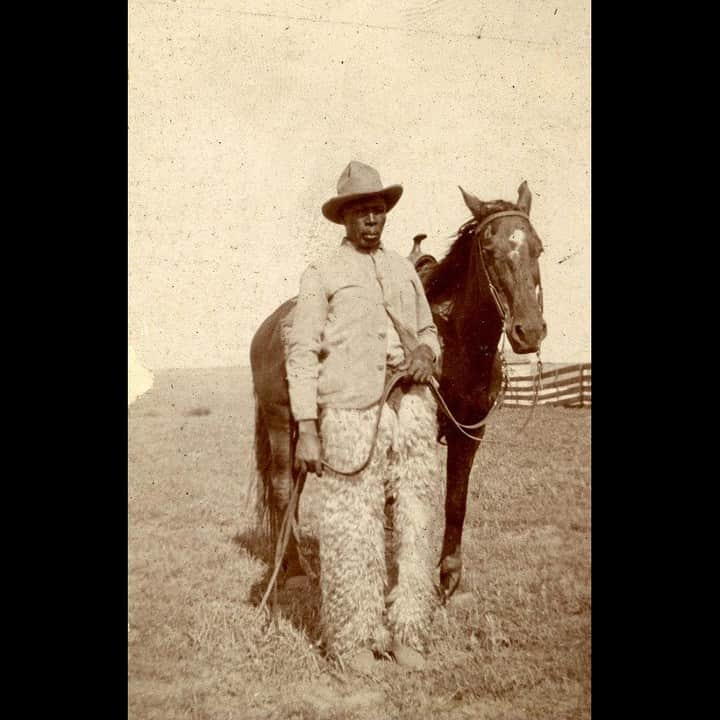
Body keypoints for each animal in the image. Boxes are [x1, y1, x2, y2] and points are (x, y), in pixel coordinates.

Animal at [249, 183, 544, 600]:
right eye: (489, 249)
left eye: (538, 248)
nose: (528, 331)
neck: (455, 341)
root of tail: (269, 327)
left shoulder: (469, 432)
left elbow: (456, 500)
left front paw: (449, 577)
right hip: (278, 421)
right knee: (280, 488)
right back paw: (292, 574)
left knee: (293, 490)